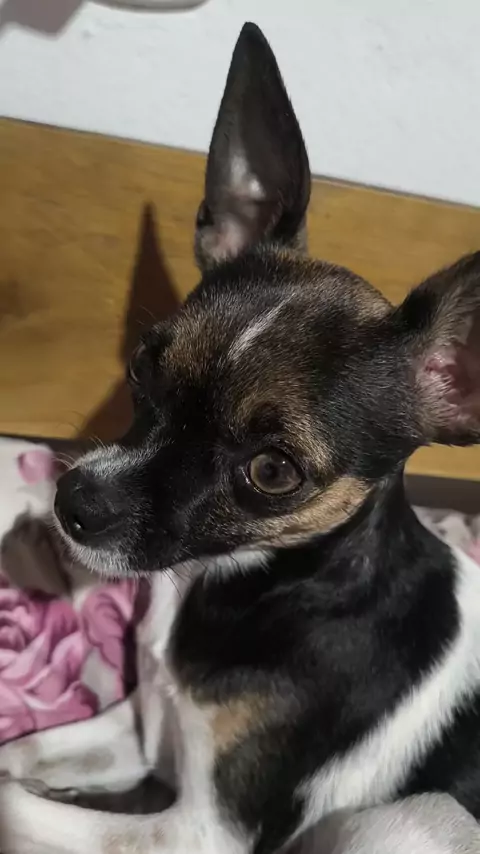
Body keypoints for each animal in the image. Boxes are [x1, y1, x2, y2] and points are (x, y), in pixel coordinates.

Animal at [1, 20, 480, 854]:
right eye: (143, 364)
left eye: (273, 471)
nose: (73, 503)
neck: (253, 581)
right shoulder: (146, 730)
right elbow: (18, 758)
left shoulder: (200, 830)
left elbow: (11, 802)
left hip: (411, 822)